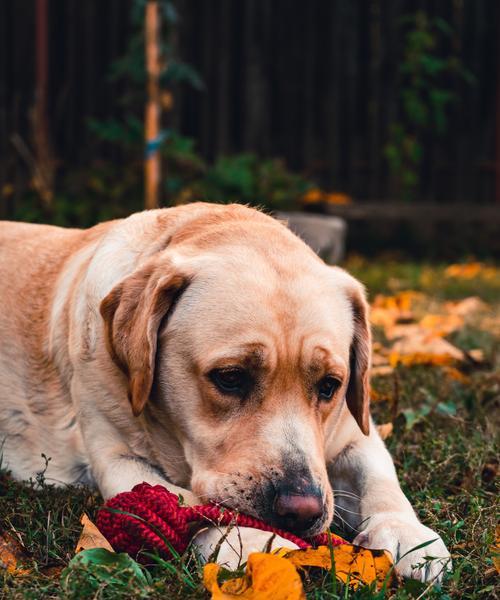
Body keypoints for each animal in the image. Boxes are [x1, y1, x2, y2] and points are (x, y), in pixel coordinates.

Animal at [0, 203, 450, 580]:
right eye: (231, 377)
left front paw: (408, 533)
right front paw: (251, 539)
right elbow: (184, 502)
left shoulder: (356, 432)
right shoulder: (117, 459)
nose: (301, 511)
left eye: (329, 386)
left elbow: (380, 476)